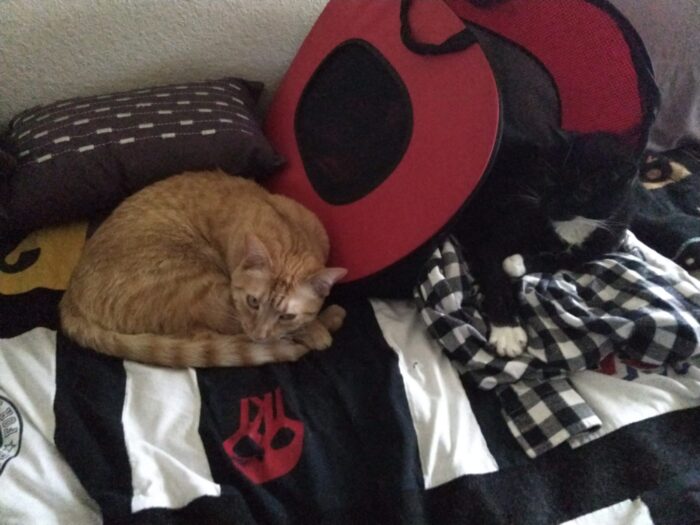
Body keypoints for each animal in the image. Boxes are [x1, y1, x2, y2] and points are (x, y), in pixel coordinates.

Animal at [60, 170, 348, 366]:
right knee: (208, 338)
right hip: (201, 287)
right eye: (253, 302)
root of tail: (69, 297)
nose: (259, 335)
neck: (292, 238)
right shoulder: (234, 307)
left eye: (287, 315)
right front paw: (317, 330)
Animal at [454, 128, 640, 356]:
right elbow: (495, 276)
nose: (549, 204)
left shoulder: (602, 241)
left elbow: (562, 259)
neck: (574, 226)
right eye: (550, 178)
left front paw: (516, 263)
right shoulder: (495, 236)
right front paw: (507, 332)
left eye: (582, 192)